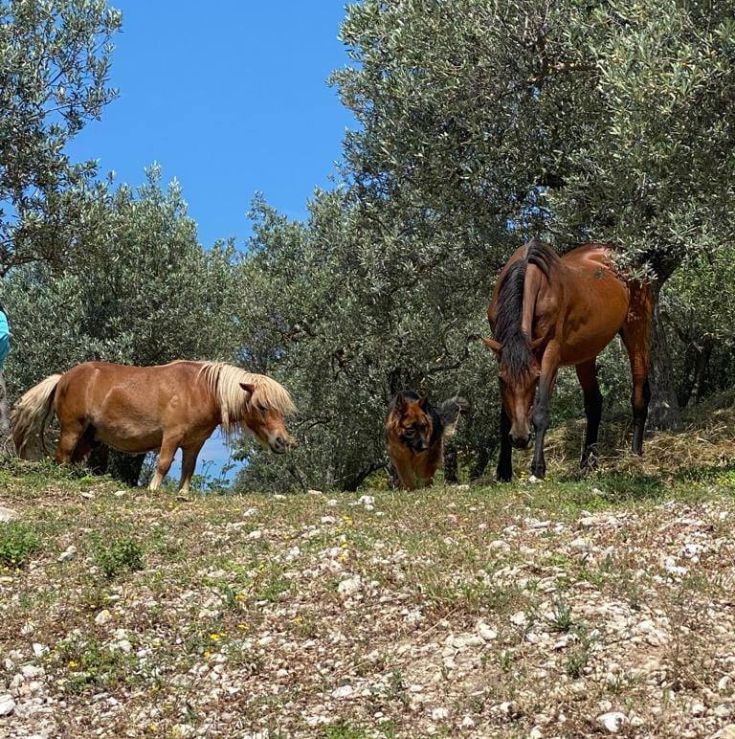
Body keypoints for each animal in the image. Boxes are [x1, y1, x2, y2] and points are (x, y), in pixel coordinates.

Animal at [11, 361, 296, 492]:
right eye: (262, 406)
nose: (282, 442)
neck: (200, 390)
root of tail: (63, 378)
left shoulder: (194, 443)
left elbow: (188, 469)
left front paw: (183, 494)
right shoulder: (171, 436)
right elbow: (163, 463)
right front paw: (153, 489)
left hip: (88, 437)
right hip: (72, 430)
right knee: (61, 459)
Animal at [482, 239, 653, 481]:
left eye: (535, 379)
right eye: (501, 380)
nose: (520, 438)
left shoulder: (550, 352)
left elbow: (541, 410)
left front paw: (538, 468)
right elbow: (504, 414)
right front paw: (503, 471)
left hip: (636, 328)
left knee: (639, 393)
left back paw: (635, 454)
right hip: (587, 351)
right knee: (594, 403)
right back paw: (587, 464)